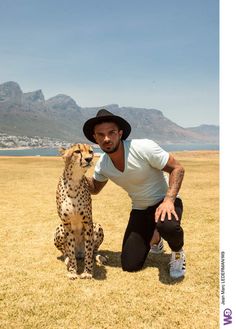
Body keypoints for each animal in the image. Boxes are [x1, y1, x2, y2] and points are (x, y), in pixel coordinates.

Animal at [54, 142, 105, 278]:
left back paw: (99, 257)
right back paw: (67, 259)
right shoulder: (66, 222)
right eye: (77, 151)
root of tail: (79, 254)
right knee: (66, 251)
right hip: (59, 228)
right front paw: (72, 271)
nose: (89, 159)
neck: (74, 181)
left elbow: (89, 249)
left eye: (91, 151)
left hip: (97, 226)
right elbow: (70, 249)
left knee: (93, 251)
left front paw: (87, 272)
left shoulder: (87, 221)